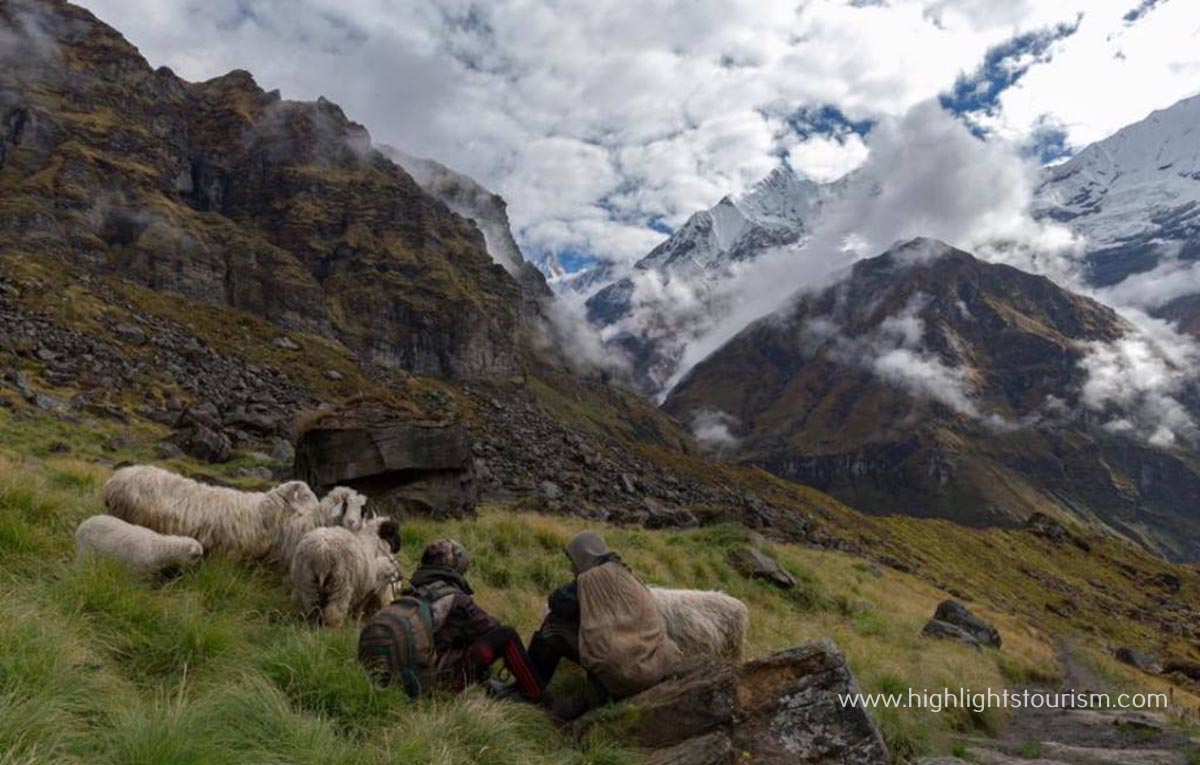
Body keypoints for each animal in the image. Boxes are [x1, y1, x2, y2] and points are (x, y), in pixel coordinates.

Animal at [74, 515, 202, 575]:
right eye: (196, 556)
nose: (194, 570)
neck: (159, 549)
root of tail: (83, 524)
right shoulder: (135, 568)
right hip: (85, 549)